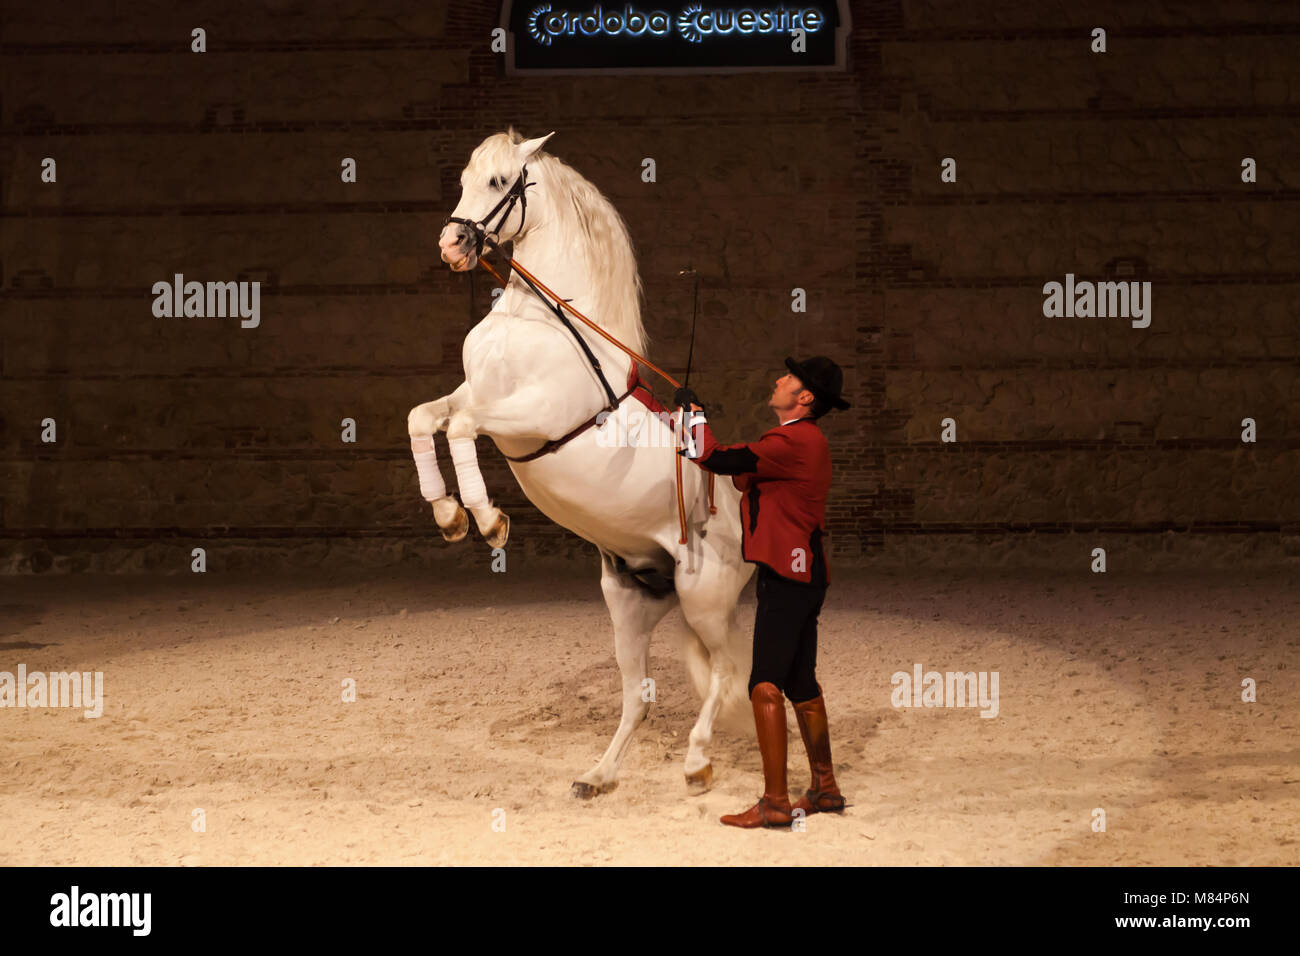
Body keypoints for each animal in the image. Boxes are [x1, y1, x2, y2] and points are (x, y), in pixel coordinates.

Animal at [407, 127, 757, 797]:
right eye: (463, 177)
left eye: (498, 181)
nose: (451, 245)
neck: (538, 319)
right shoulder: (474, 394)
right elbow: (424, 419)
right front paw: (448, 515)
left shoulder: (528, 415)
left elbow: (460, 429)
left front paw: (487, 521)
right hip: (631, 603)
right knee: (639, 697)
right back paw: (598, 775)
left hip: (705, 598)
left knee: (727, 676)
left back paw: (697, 762)